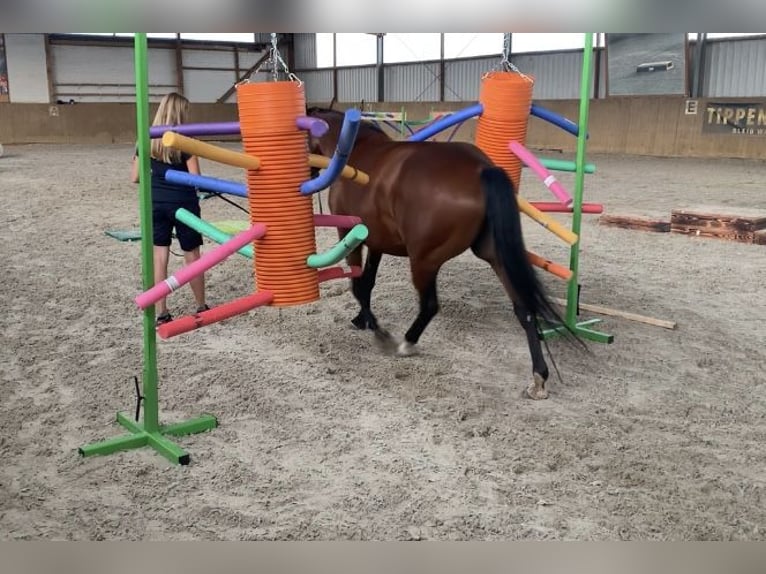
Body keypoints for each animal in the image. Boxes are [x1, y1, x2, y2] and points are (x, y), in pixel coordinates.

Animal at [306, 109, 584, 404]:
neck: (358, 149)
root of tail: (480, 168)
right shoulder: (377, 242)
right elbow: (367, 283)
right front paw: (363, 320)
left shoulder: (350, 234)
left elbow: (358, 286)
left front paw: (376, 329)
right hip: (495, 257)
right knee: (525, 310)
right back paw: (538, 377)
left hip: (423, 261)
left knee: (429, 305)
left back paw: (406, 343)